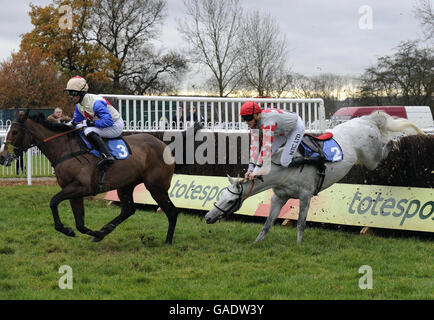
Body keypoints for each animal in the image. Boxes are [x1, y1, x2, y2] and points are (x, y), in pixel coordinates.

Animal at [0, 110, 193, 242]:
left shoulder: (80, 187)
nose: (2, 157)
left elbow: (53, 201)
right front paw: (91, 232)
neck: (65, 150)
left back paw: (168, 241)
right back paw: (103, 232)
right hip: (126, 185)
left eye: (15, 132)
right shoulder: (74, 192)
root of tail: (165, 146)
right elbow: (79, 223)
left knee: (172, 211)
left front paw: (68, 229)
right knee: (128, 210)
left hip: (156, 186)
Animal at [205, 111, 426, 244]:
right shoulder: (279, 196)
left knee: (384, 149)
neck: (286, 169)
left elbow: (301, 223)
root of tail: (366, 120)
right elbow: (267, 224)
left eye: (231, 200)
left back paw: (396, 141)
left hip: (371, 158)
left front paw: (298, 245)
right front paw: (256, 243)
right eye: (221, 196)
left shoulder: (305, 195)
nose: (208, 217)